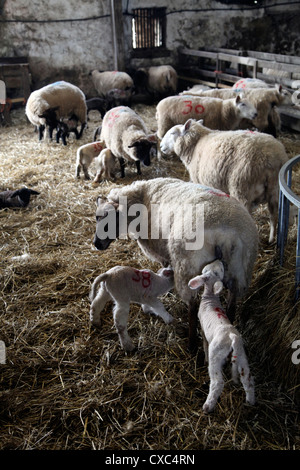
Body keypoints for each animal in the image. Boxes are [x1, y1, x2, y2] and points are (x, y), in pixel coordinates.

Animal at [93, 178, 258, 350]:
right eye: (97, 218)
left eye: (111, 221)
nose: (96, 244)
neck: (142, 197)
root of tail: (226, 235)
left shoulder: (161, 249)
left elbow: (166, 267)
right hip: (240, 273)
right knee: (232, 305)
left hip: (187, 266)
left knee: (193, 306)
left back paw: (191, 344)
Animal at [161, 118, 290, 242]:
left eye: (172, 133)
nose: (161, 146)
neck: (195, 145)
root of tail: (271, 158)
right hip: (275, 190)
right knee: (274, 214)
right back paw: (271, 239)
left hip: (241, 187)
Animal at [189, 258, 254, 414]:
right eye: (209, 268)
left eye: (219, 271)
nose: (219, 260)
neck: (210, 298)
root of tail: (232, 338)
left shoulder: (203, 330)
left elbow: (204, 344)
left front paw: (204, 359)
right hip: (241, 355)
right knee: (247, 379)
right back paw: (250, 402)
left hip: (216, 354)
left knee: (217, 382)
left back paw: (207, 406)